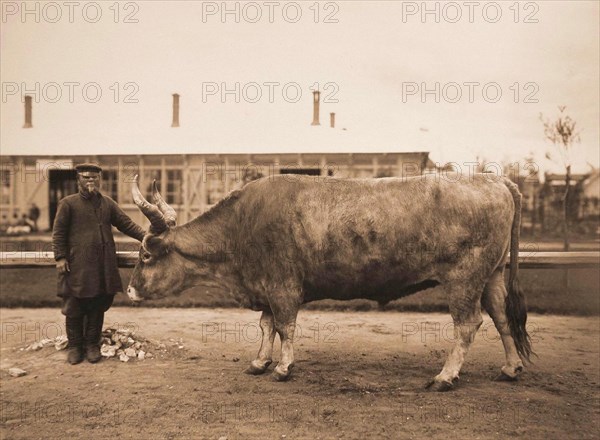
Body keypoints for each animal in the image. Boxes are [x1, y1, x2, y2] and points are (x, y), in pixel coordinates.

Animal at [127, 173, 536, 392]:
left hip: (464, 278)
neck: (242, 226)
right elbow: (266, 326)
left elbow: (285, 326)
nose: (129, 289)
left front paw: (283, 368)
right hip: (491, 276)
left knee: (468, 324)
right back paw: (510, 368)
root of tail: (492, 177)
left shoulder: (283, 286)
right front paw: (259, 361)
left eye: (145, 255)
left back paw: (445, 376)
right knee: (501, 318)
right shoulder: (266, 288)